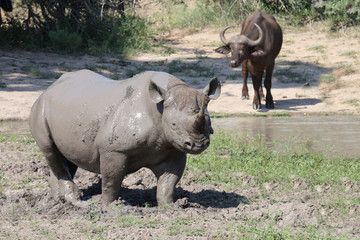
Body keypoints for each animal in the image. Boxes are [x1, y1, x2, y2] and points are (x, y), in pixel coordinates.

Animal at [29, 70, 221, 205]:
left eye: (208, 121)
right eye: (173, 124)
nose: (198, 144)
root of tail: (49, 88)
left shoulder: (173, 149)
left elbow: (169, 181)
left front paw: (171, 206)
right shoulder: (113, 149)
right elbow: (112, 180)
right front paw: (112, 206)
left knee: (66, 158)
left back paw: (58, 201)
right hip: (40, 108)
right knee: (50, 150)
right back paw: (75, 200)